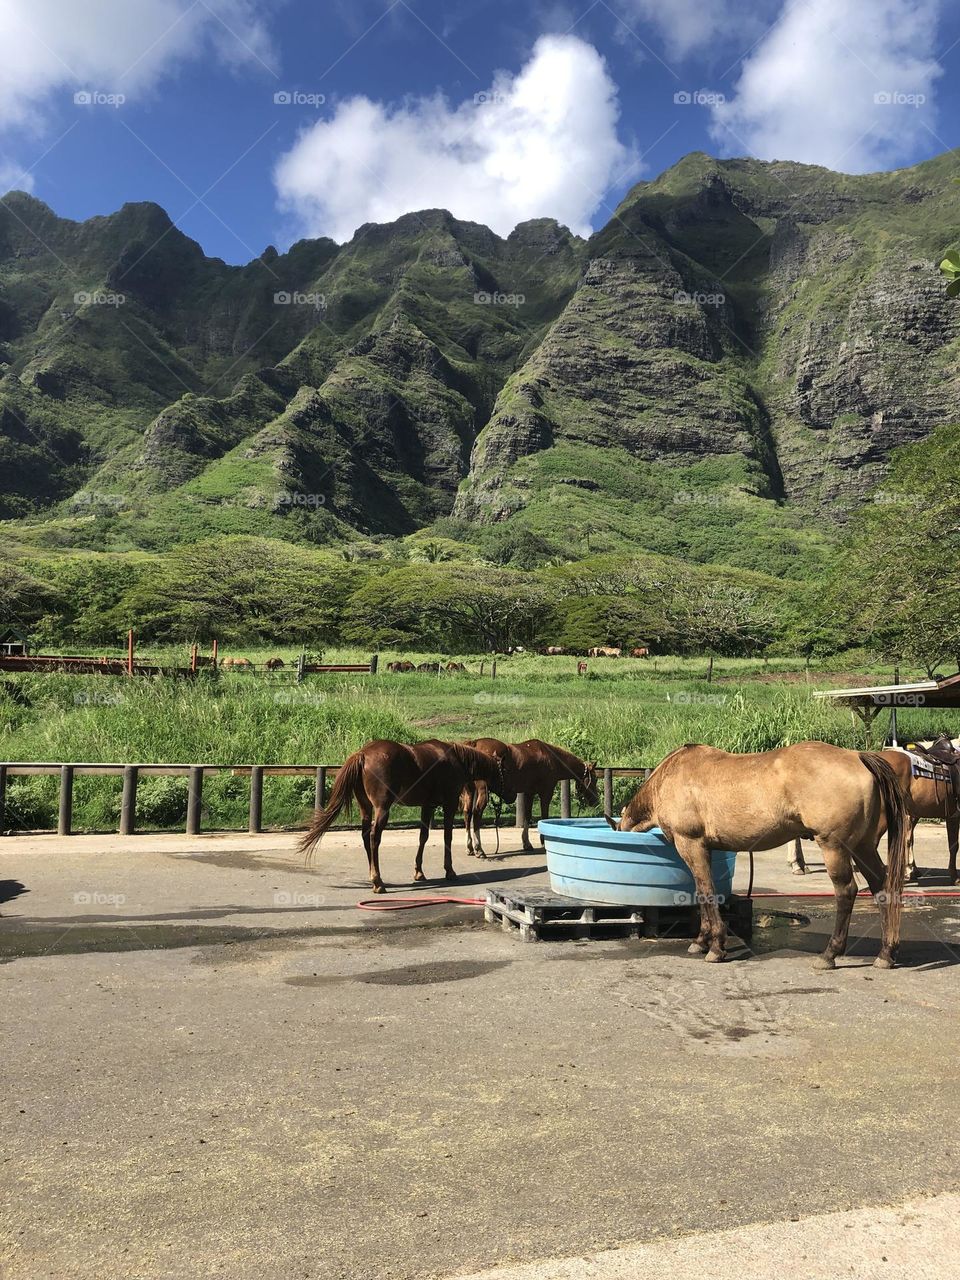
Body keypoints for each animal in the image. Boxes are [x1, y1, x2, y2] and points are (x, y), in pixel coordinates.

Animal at [299, 739, 515, 893]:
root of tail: (363, 754)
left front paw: (419, 872)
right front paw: (450, 870)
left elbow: (423, 837)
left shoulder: (427, 806)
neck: (457, 760)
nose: (512, 796)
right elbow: (447, 837)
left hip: (365, 807)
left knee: (365, 837)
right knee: (374, 838)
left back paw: (373, 876)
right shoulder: (450, 804)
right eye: (505, 771)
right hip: (382, 808)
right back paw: (378, 881)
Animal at [461, 738, 600, 857]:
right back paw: (479, 849)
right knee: (477, 813)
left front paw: (526, 843)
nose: (596, 800)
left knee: (467, 813)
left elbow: (527, 816)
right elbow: (544, 816)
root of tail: (474, 744)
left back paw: (470, 847)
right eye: (594, 779)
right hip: (482, 791)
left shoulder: (529, 792)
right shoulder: (546, 792)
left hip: (470, 791)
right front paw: (543, 842)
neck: (551, 758)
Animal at [619, 741, 909, 968]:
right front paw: (701, 941)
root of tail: (857, 756)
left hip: (835, 847)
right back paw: (886, 953)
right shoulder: (705, 850)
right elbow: (702, 893)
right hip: (862, 847)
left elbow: (706, 892)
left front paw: (716, 947)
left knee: (846, 891)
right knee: (882, 886)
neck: (671, 775)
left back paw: (830, 954)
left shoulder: (691, 844)